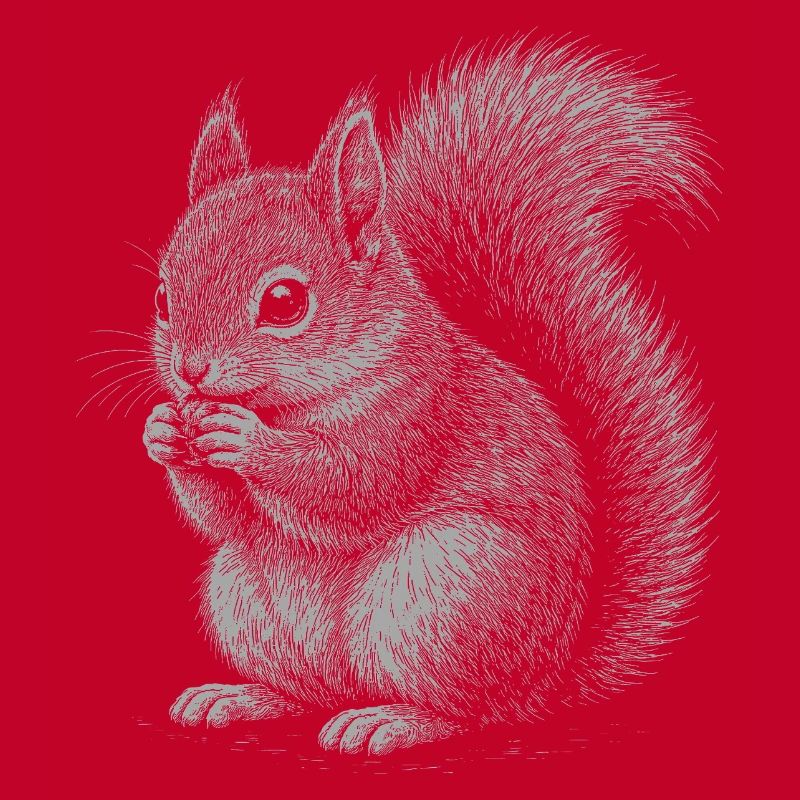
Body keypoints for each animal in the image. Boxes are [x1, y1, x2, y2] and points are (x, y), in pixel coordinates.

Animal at [141, 37, 714, 756]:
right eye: (163, 296)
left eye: (284, 302)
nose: (191, 372)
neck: (290, 402)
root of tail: (545, 684)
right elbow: (226, 520)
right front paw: (164, 431)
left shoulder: (418, 410)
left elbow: (351, 487)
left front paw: (246, 442)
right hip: (245, 599)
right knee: (312, 691)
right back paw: (244, 696)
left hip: (444, 590)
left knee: (469, 711)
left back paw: (392, 720)